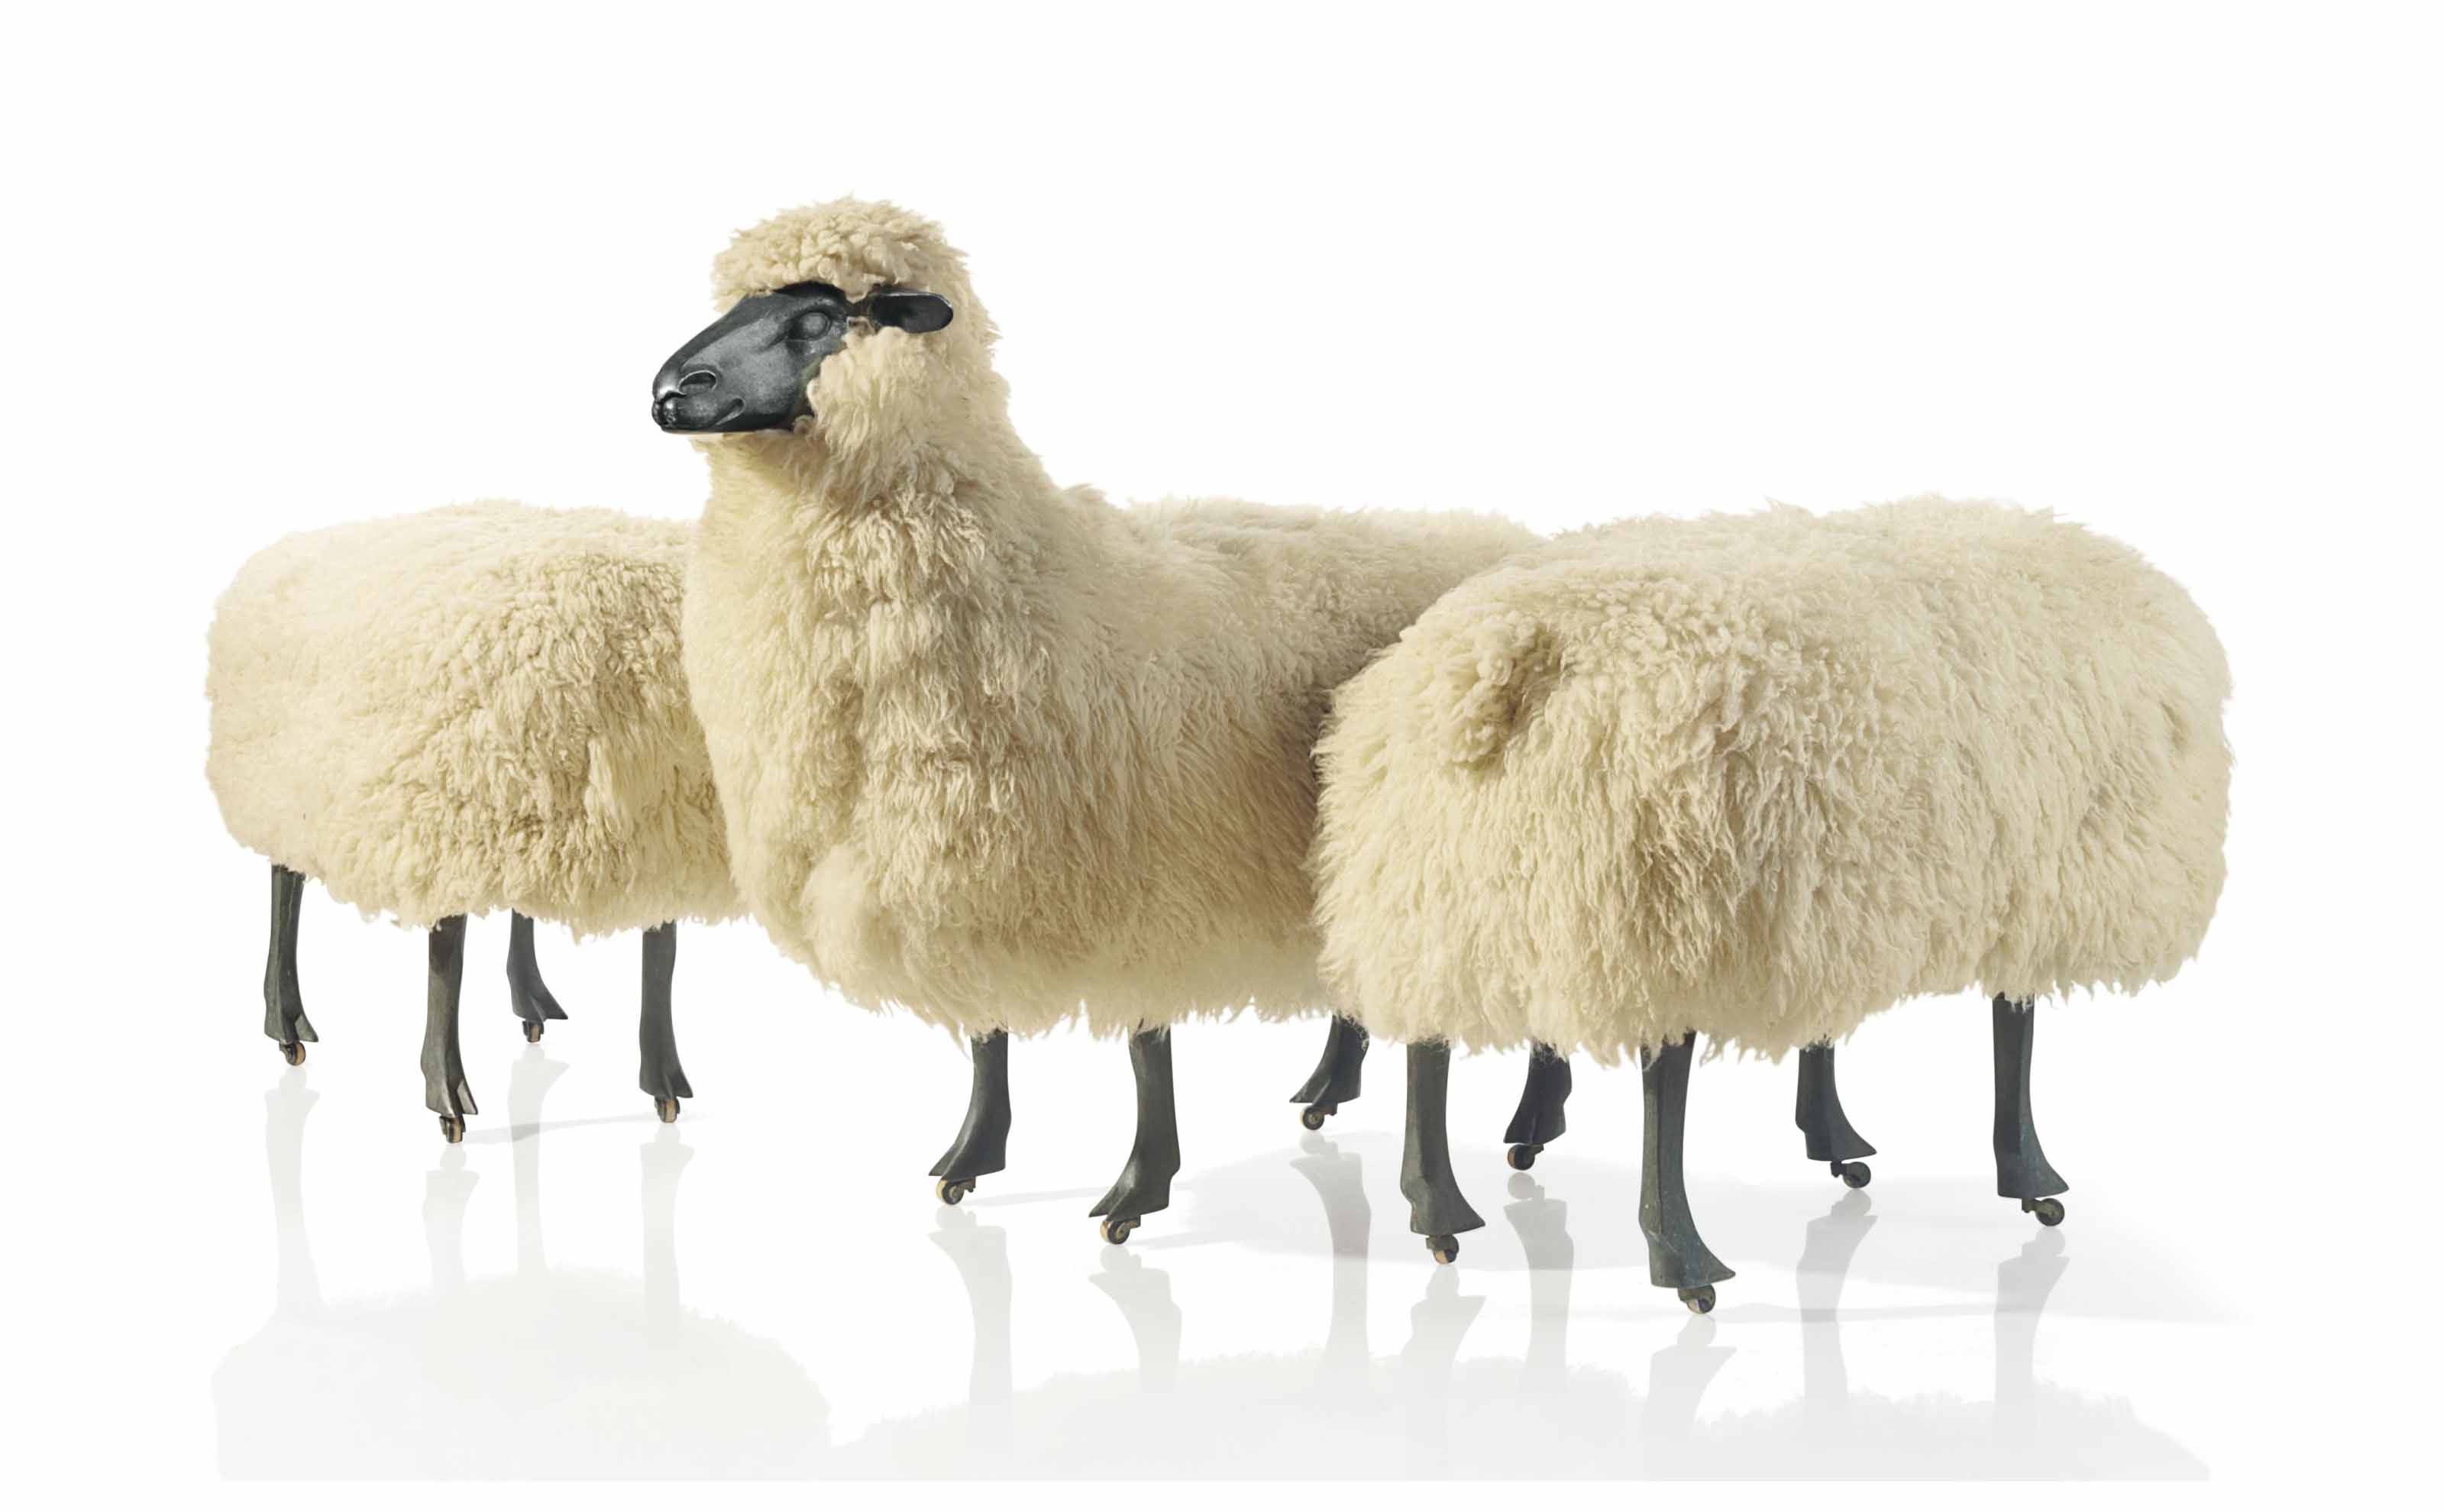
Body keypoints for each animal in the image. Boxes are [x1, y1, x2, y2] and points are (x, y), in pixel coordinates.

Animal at [207, 501, 737, 1139]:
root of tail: (270, 556)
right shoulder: (448, 831)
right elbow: (447, 962)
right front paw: (446, 1094)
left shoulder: (667, 827)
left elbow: (662, 953)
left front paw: (662, 1082)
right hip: (289, 791)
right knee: (285, 884)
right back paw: (284, 1022)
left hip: (522, 808)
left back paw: (530, 1000)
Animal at [650, 197, 1536, 1241]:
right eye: (739, 303)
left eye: (821, 317)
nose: (669, 390)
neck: (1029, 564)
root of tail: (1501, 536)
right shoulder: (965, 855)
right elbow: (987, 1030)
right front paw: (972, 1156)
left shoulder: (1130, 870)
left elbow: (1144, 1046)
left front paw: (1137, 1188)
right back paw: (1332, 1088)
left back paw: (1504, 1143)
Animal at [1310, 498, 2231, 1300]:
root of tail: (1492, 664)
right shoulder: (2016, 894)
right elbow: (2017, 1034)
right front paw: (2029, 1176)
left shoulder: (1831, 905)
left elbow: (1915, 1029)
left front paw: (1836, 1136)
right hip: (1648, 902)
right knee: (1655, 1085)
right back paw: (1674, 1253)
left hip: (1458, 891)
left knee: (1429, 1037)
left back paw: (1445, 1199)